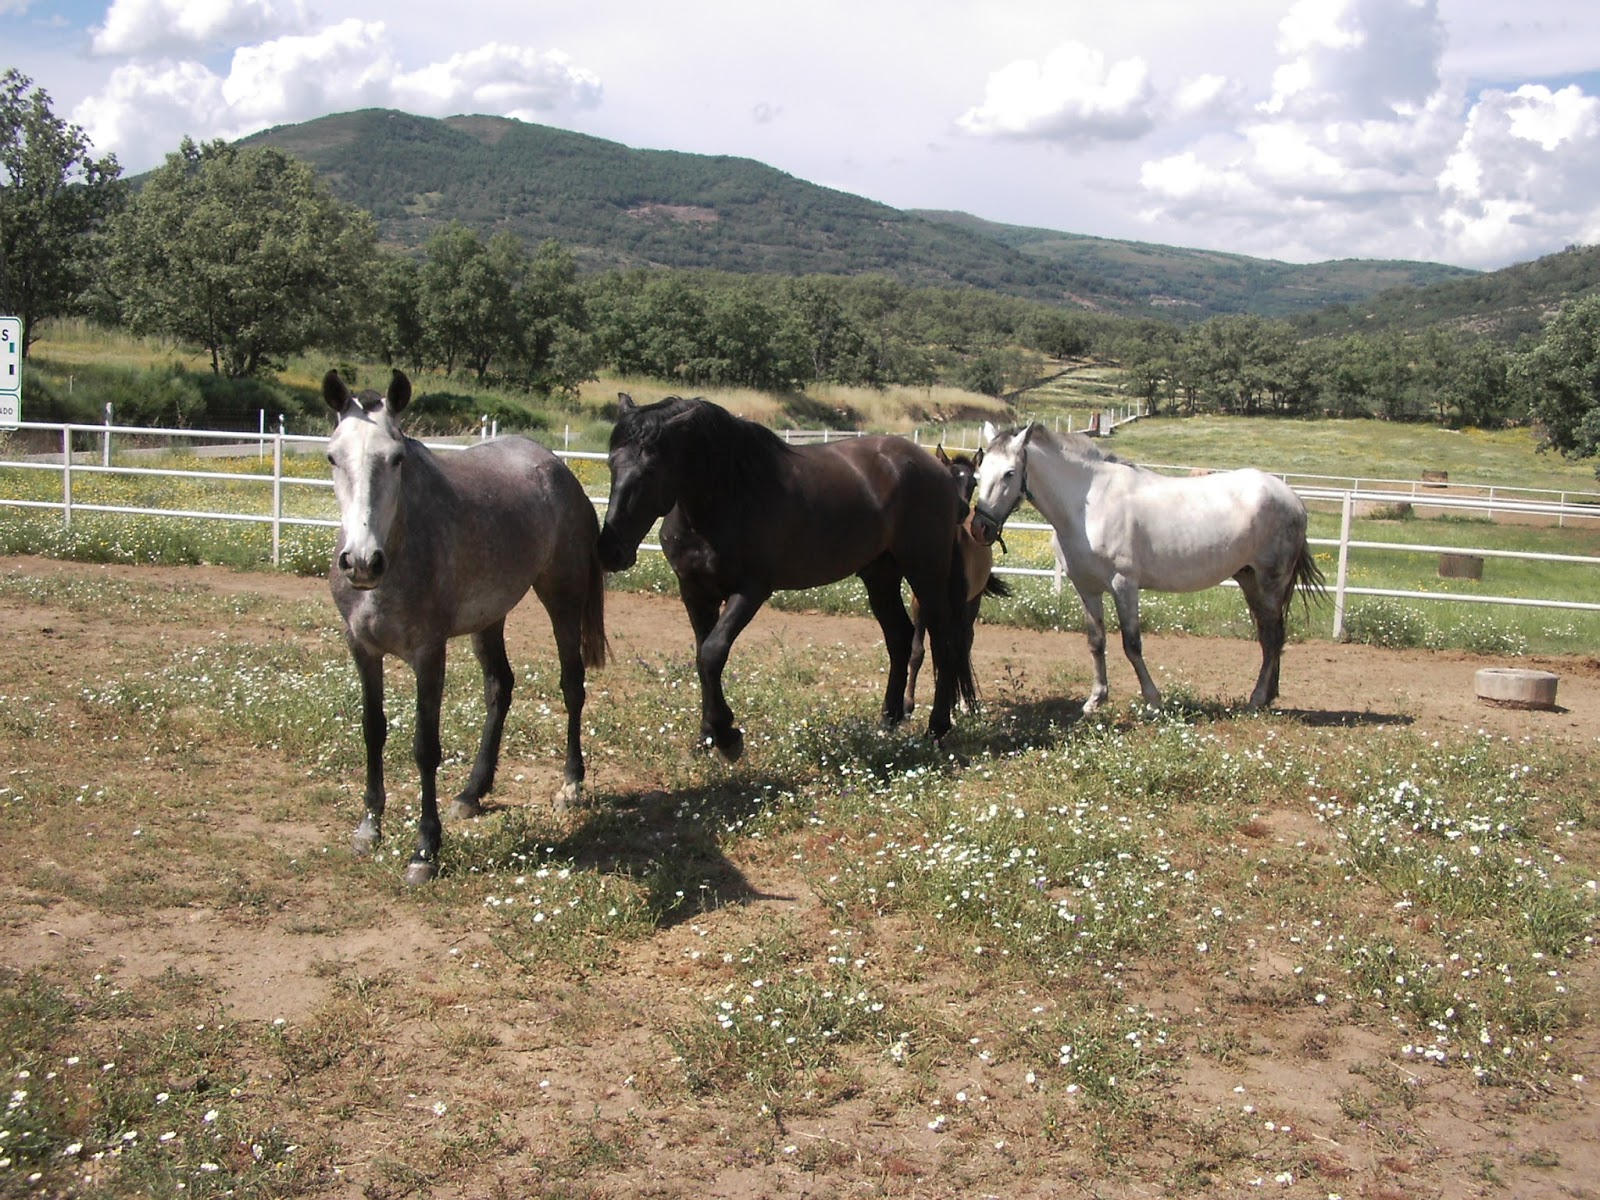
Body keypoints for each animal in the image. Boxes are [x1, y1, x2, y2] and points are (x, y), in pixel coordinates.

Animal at [325, 369, 608, 885]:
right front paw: (369, 827)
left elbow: (424, 746)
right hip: (489, 618)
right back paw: (472, 792)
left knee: (572, 685)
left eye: (396, 458)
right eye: (333, 456)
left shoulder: (429, 653)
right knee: (500, 687)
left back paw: (570, 786)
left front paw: (424, 850)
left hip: (562, 599)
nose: (361, 562)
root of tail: (556, 468)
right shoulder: (362, 648)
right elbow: (373, 730)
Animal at [596, 394, 976, 758]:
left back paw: (937, 728)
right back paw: (888, 720)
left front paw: (728, 738)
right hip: (880, 575)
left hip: (925, 572)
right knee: (900, 637)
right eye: (611, 463)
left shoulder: (751, 590)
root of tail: (937, 471)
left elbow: (713, 653)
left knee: (943, 642)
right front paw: (707, 736)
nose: (610, 550)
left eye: (650, 470)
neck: (728, 497)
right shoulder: (694, 591)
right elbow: (702, 656)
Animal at [904, 446, 1010, 712]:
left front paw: (955, 701)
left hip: (973, 602)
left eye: (973, 483)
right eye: (947, 477)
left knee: (966, 641)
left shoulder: (960, 605)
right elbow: (917, 650)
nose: (960, 509)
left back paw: (960, 702)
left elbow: (956, 648)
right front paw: (908, 704)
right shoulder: (920, 603)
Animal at [967, 422, 1325, 713]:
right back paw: (1267, 697)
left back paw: (1257, 698)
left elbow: (1132, 643)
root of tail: (1292, 497)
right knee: (1269, 635)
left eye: (1009, 473)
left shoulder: (1124, 584)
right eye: (979, 474)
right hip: (1249, 579)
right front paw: (1095, 700)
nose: (980, 529)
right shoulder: (1087, 587)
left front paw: (1153, 701)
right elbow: (1096, 641)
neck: (1088, 505)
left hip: (1271, 581)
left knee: (1274, 636)